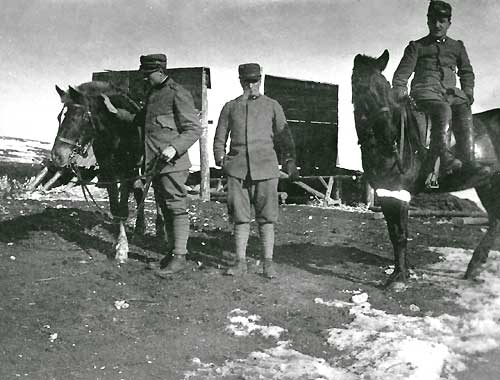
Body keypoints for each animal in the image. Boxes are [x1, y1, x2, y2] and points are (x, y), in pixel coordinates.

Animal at [52, 81, 147, 262]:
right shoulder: (108, 170)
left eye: (81, 116)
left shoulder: (128, 170)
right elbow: (115, 207)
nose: (57, 155)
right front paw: (118, 242)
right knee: (138, 189)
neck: (118, 131)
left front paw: (122, 248)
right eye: (61, 117)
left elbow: (123, 208)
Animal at [352, 50, 500, 288]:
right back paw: (474, 267)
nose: (388, 134)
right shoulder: (385, 192)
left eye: (384, 86)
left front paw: (399, 277)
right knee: (496, 219)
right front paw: (400, 273)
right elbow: (394, 233)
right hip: (488, 183)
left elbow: (401, 234)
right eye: (360, 86)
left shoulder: (400, 192)